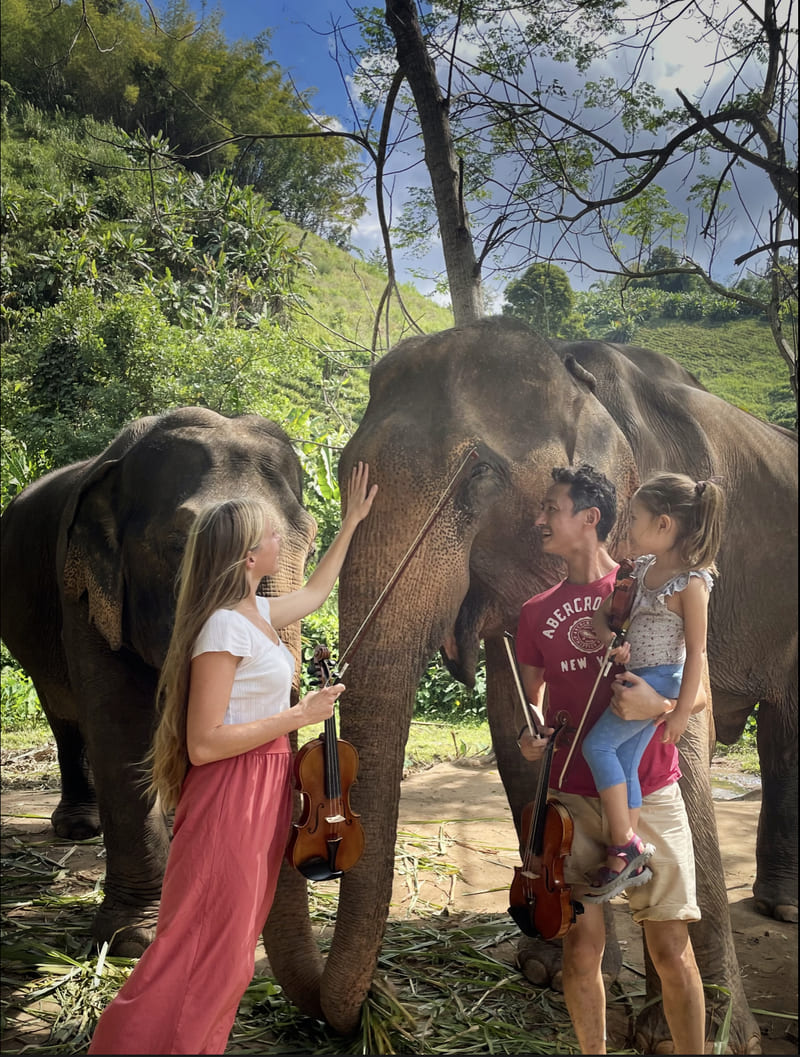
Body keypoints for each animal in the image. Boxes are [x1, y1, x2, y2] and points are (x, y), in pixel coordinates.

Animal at [0, 405, 319, 959]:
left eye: (313, 540)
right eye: (180, 545)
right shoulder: (82, 588)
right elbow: (121, 727)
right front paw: (135, 938)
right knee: (62, 712)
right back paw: (80, 827)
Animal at [268, 317, 794, 1052]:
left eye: (478, 479)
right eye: (342, 471)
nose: (378, 1004)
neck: (573, 363)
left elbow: (684, 726)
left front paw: (697, 1035)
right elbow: (516, 718)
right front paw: (551, 964)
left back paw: (780, 911)